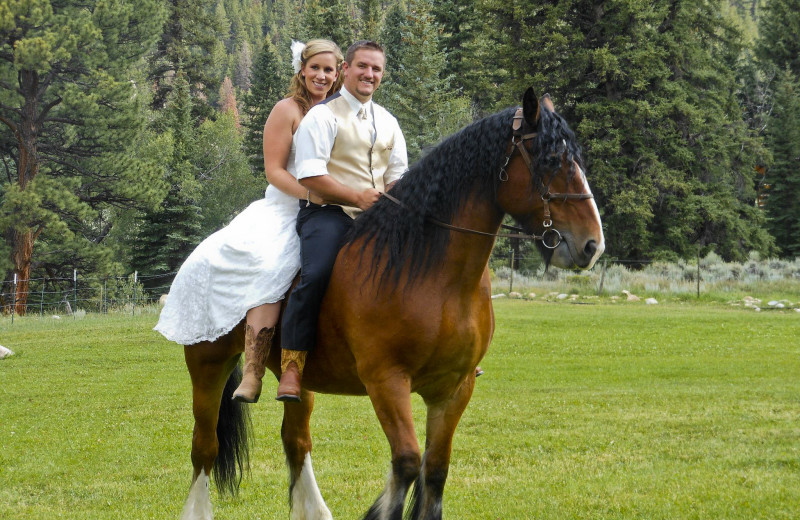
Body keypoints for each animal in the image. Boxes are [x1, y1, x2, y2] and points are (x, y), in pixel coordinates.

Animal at [181, 89, 604, 520]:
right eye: (551, 161)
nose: (592, 244)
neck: (429, 270)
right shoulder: (387, 382)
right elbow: (406, 463)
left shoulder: (454, 388)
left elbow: (434, 471)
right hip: (208, 364)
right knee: (205, 447)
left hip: (295, 379)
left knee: (296, 441)